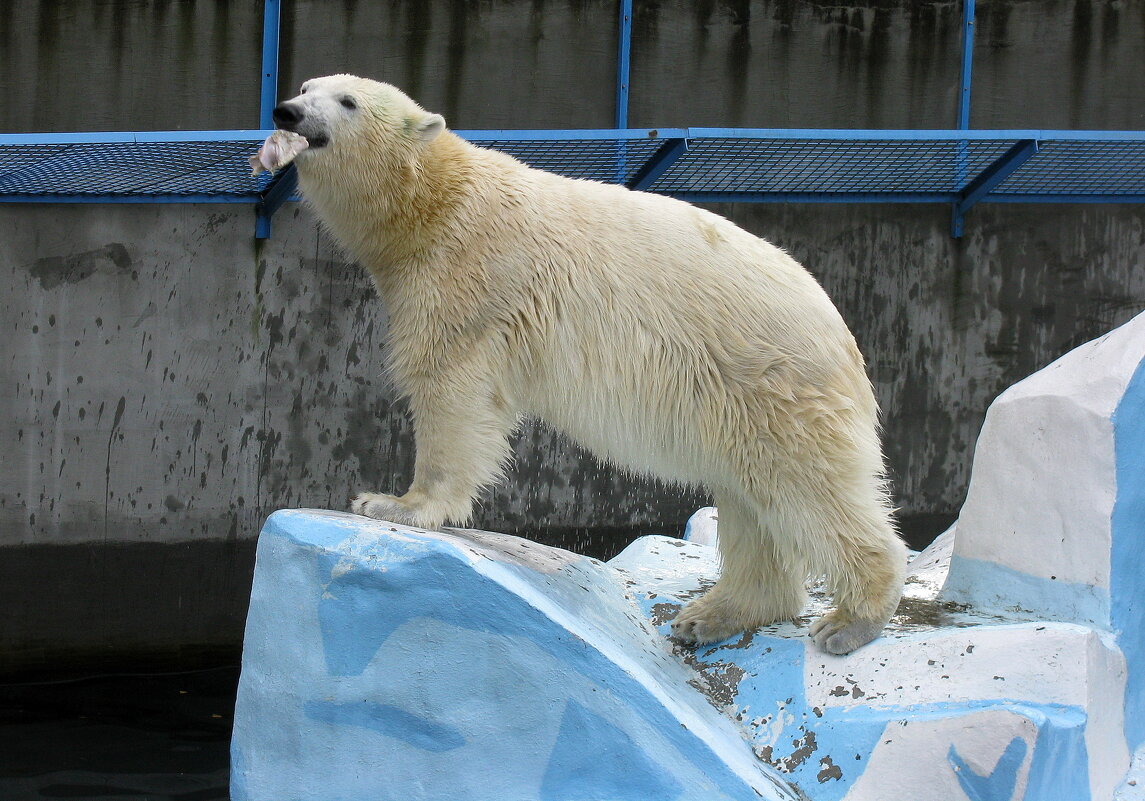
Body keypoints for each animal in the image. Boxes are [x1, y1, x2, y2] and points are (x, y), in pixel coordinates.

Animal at [267, 73, 902, 649]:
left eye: (347, 100)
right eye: (305, 86)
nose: (287, 111)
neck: (436, 200)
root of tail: (845, 339)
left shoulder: (469, 277)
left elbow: (452, 393)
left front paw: (393, 503)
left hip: (775, 385)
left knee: (810, 489)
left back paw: (852, 618)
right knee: (753, 502)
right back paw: (710, 616)